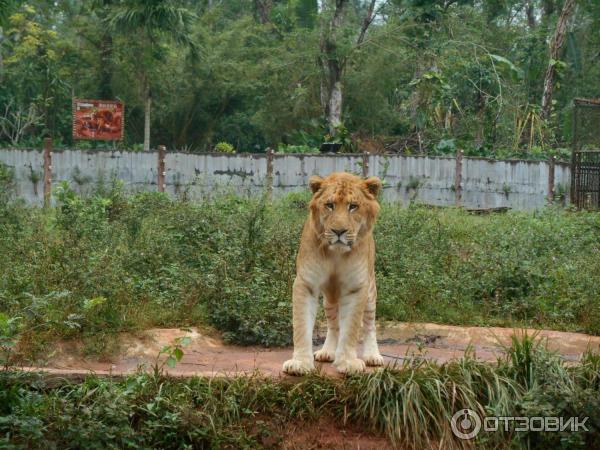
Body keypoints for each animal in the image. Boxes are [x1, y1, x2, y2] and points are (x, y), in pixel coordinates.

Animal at [282, 171, 384, 374]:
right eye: (330, 205)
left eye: (353, 206)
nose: (339, 231)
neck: (336, 254)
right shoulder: (306, 283)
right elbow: (301, 325)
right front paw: (300, 363)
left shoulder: (356, 287)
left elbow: (351, 327)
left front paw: (348, 362)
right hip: (329, 299)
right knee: (334, 324)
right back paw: (327, 352)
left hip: (370, 291)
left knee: (369, 324)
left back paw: (373, 356)